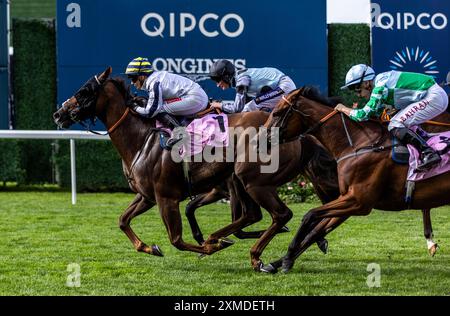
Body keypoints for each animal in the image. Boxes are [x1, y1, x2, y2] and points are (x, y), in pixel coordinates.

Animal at [264, 87, 450, 274]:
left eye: (277, 113)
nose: (260, 138)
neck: (358, 144)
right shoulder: (348, 200)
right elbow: (316, 231)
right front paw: (277, 262)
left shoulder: (359, 201)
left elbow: (310, 216)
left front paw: (287, 257)